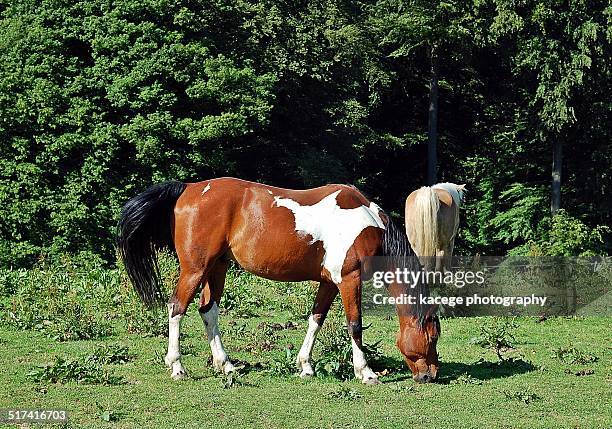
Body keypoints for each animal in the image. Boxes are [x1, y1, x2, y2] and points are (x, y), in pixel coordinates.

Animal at [117, 176, 438, 382]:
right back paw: (177, 367)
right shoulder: (349, 279)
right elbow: (354, 325)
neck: (368, 223)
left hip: (216, 268)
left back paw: (226, 365)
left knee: (208, 311)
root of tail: (189, 189)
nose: (430, 375)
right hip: (195, 268)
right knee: (177, 308)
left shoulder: (328, 282)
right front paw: (366, 372)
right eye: (433, 337)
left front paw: (305, 366)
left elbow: (316, 320)